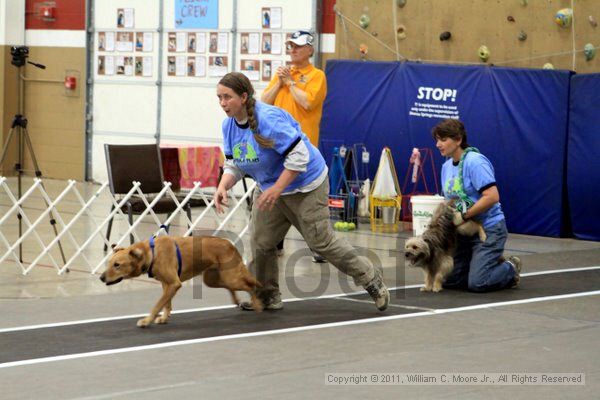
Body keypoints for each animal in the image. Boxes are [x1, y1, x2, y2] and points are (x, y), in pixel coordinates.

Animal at [99, 236, 262, 326]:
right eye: (109, 263)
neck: (151, 252)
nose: (101, 278)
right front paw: (164, 317)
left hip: (231, 277)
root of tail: (230, 245)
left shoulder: (173, 284)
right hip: (212, 280)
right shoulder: (166, 284)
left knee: (251, 285)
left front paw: (147, 320)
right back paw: (237, 300)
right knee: (232, 287)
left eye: (117, 265)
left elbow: (157, 305)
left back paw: (257, 305)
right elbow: (166, 304)